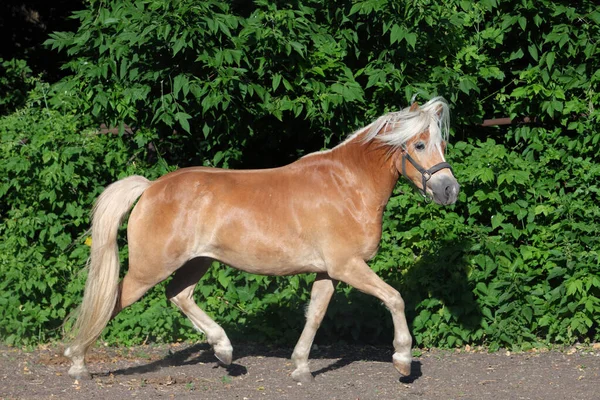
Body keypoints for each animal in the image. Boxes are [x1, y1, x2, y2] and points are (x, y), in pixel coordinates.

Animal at [63, 96, 460, 382]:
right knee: (112, 301)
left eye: (442, 143)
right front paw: (403, 360)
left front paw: (300, 367)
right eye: (420, 144)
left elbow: (315, 314)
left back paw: (224, 350)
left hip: (197, 262)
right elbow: (394, 299)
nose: (449, 190)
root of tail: (150, 187)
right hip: (150, 268)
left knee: (179, 295)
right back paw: (77, 362)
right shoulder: (348, 266)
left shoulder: (328, 272)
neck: (347, 186)